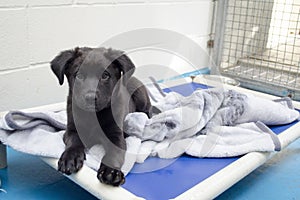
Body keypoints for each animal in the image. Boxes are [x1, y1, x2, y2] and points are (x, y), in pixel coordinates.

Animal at [50, 47, 152, 186]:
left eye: (105, 76)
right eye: (79, 75)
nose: (90, 98)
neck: (93, 116)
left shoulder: (116, 136)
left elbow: (113, 154)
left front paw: (111, 172)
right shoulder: (71, 130)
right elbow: (73, 143)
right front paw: (69, 158)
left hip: (141, 95)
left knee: (148, 110)